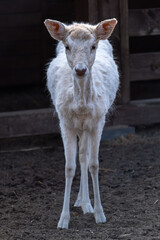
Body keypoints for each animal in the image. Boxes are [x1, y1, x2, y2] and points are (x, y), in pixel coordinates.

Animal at [44, 18, 119, 229]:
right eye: (67, 46)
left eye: (93, 46)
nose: (80, 70)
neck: (82, 107)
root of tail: (81, 22)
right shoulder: (65, 122)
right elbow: (69, 167)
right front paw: (63, 219)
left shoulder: (98, 121)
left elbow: (94, 164)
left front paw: (100, 214)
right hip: (78, 127)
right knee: (81, 156)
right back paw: (81, 201)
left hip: (87, 127)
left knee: (84, 156)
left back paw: (86, 203)